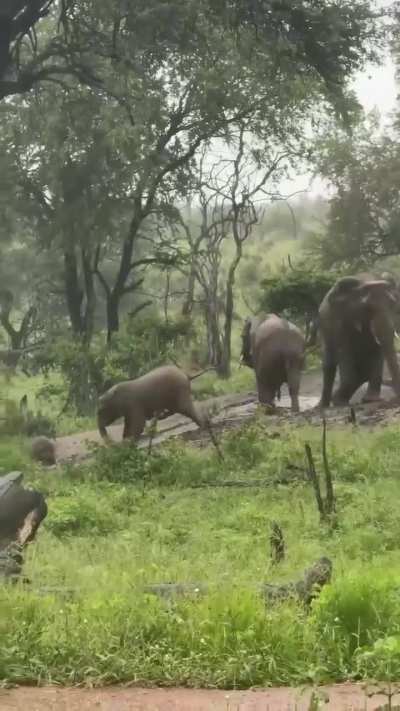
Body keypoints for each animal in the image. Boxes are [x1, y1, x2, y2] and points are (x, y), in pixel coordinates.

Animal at [318, 275, 400, 408]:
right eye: (368, 309)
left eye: (393, 306)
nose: (396, 400)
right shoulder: (340, 321)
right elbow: (344, 352)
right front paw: (340, 402)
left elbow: (377, 351)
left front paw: (371, 400)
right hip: (324, 326)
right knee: (329, 365)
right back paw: (324, 405)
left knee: (362, 372)